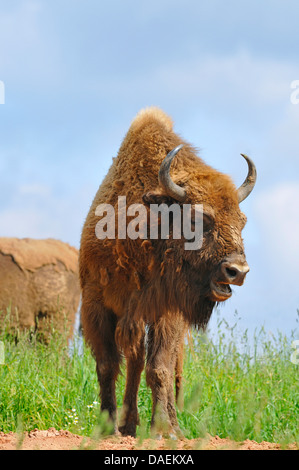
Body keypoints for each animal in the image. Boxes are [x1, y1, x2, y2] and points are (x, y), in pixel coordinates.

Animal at [79, 106, 258, 436]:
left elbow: (159, 367)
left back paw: (166, 423)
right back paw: (128, 424)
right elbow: (108, 365)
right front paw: (107, 427)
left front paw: (164, 428)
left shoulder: (168, 312)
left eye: (241, 221)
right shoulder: (96, 304)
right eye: (199, 219)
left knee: (154, 365)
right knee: (133, 362)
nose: (237, 271)